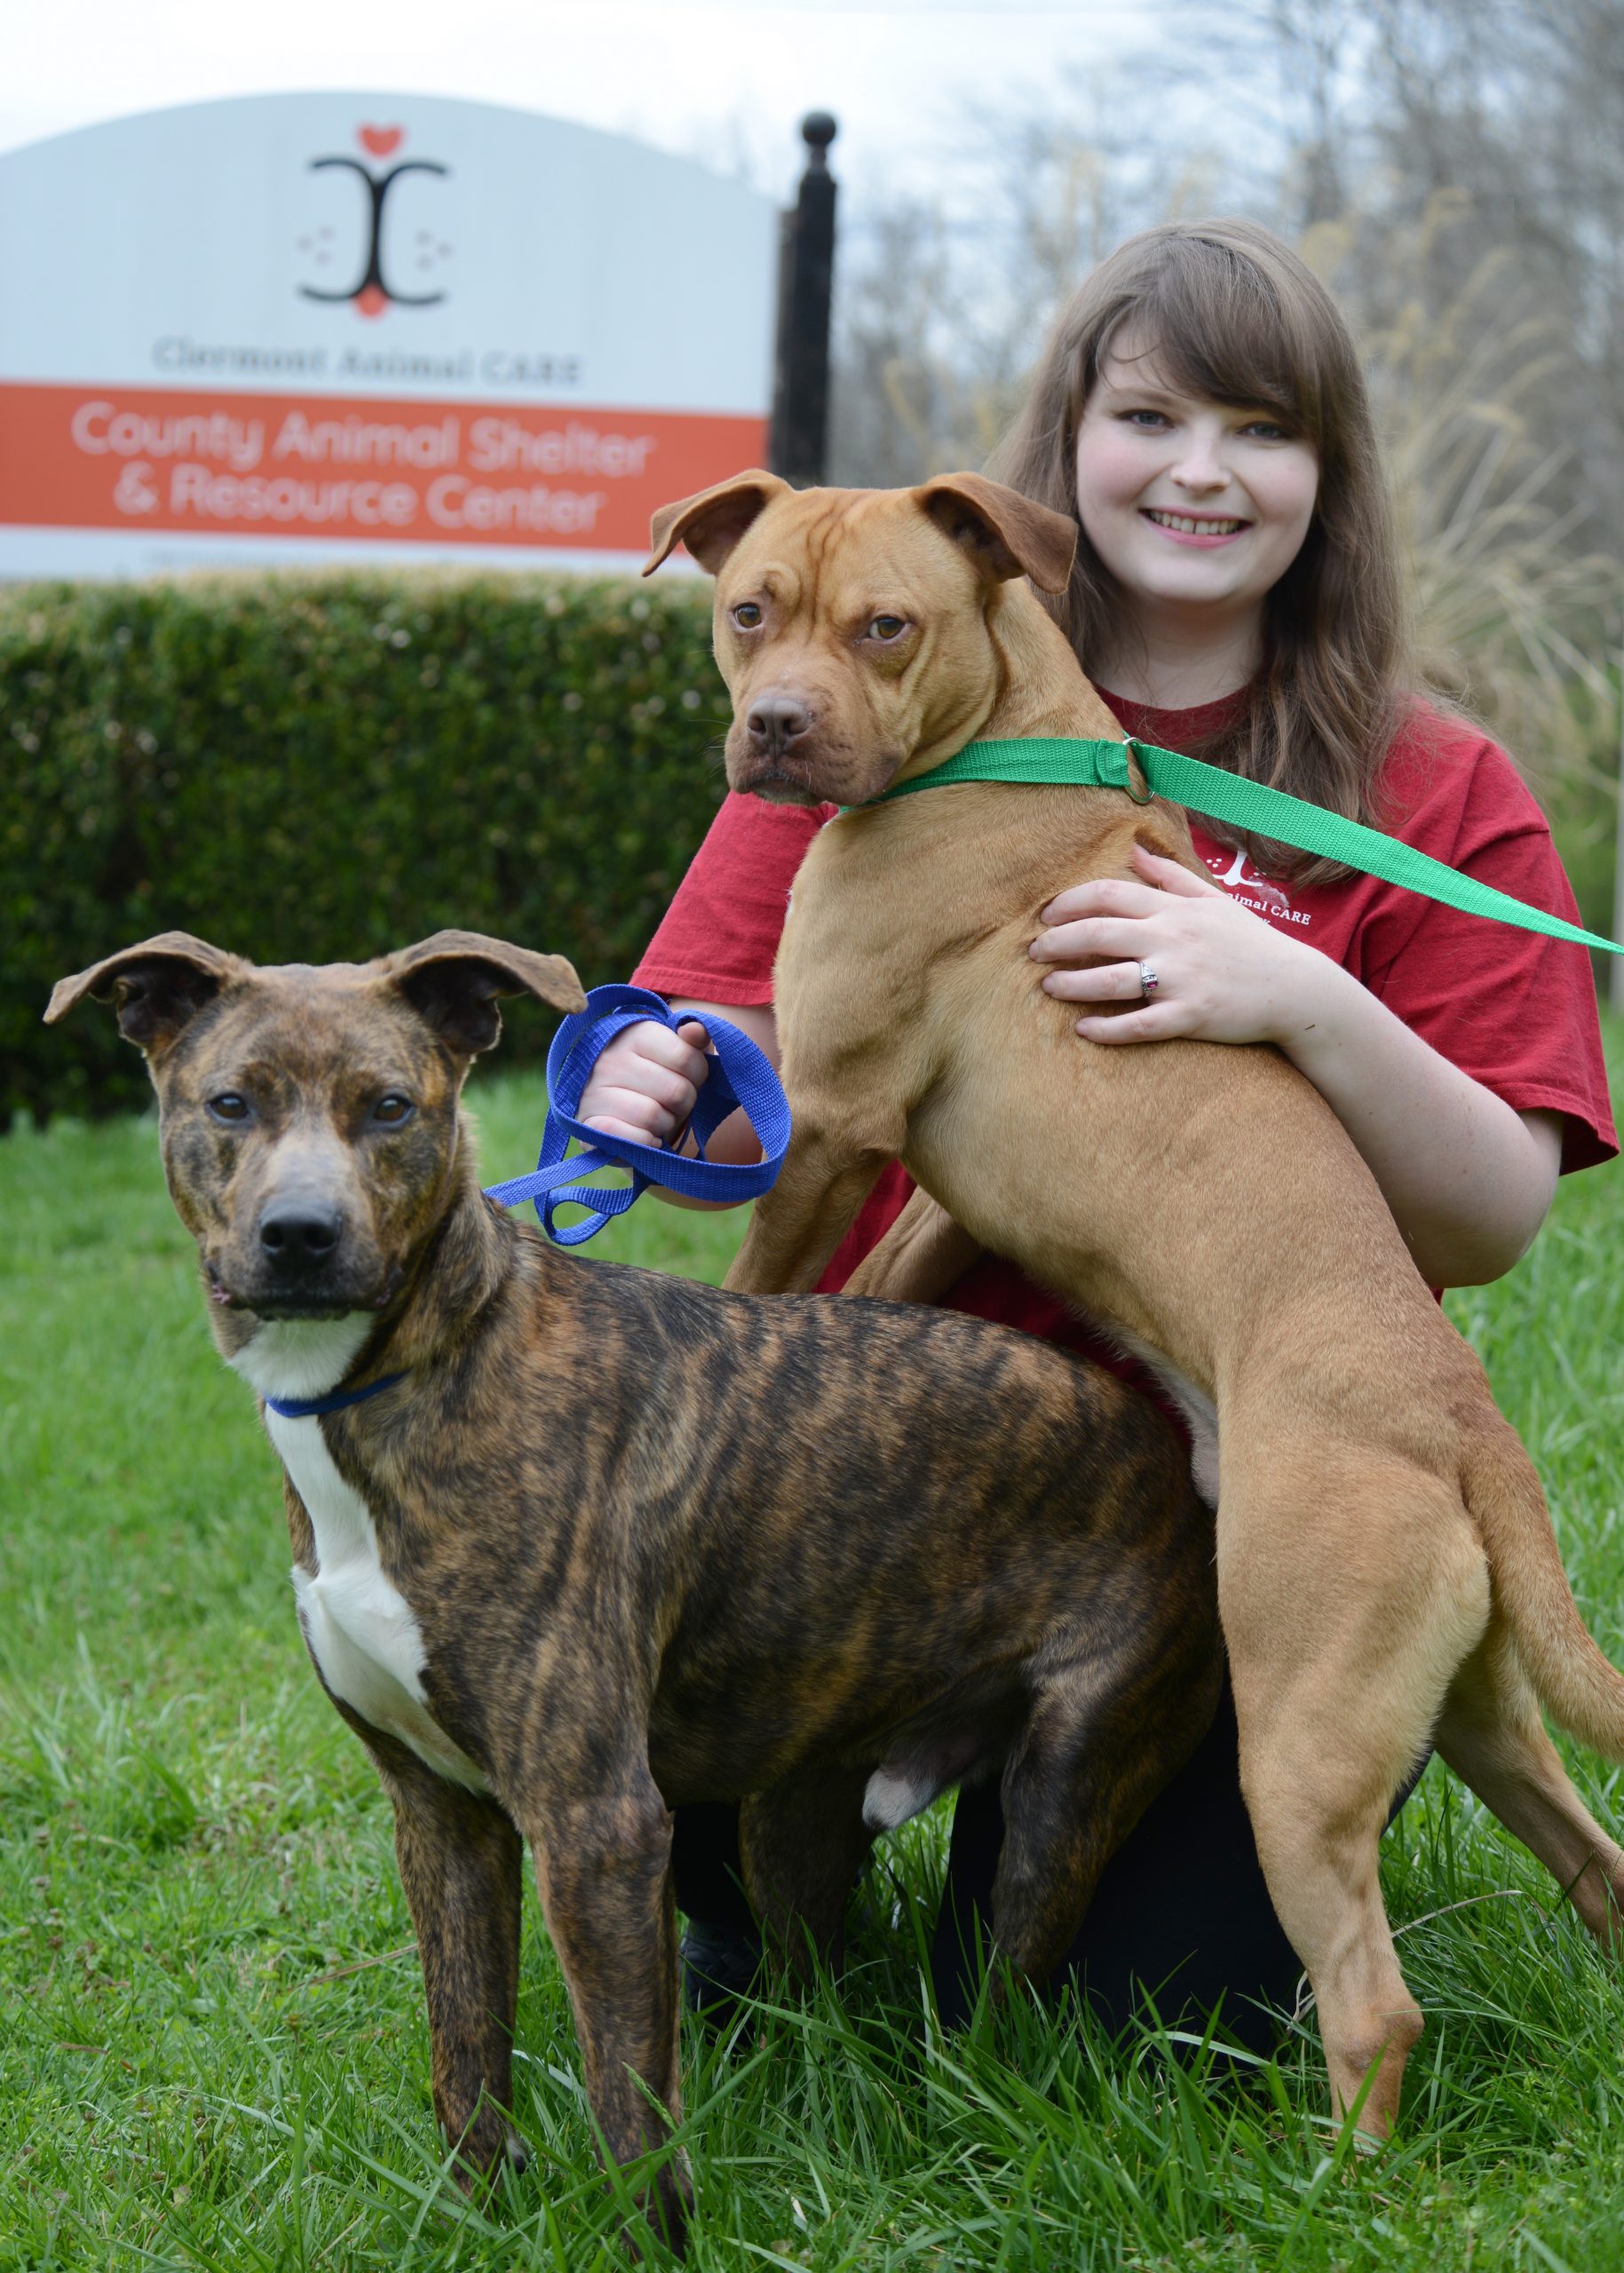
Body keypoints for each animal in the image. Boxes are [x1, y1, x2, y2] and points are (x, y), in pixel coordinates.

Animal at [47, 927, 1219, 2254]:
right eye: (229, 1104)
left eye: (390, 1107)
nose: (301, 1233)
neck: (413, 1373)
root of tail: (1166, 1447)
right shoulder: (440, 1816)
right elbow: (465, 2058)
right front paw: (480, 2223)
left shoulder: (595, 1827)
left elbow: (628, 2107)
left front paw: (648, 2242)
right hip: (796, 1810)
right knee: (814, 1981)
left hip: (1065, 1794)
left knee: (1005, 1999)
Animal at [641, 470, 1619, 2136]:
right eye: (748, 610)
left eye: (884, 627)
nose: (773, 727)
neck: (1004, 737)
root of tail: (1459, 1421)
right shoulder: (945, 1198)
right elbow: (884, 1278)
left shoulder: (830, 1122)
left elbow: (763, 1279)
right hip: (1474, 1709)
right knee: (1597, 1866)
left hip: (1297, 1742)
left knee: (1373, 2006)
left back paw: (1337, 2165)